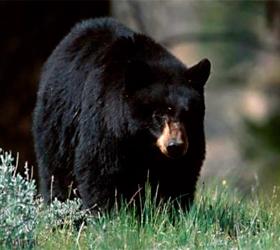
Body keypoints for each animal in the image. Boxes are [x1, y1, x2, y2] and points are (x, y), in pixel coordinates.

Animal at [32, 17, 210, 211]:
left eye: (188, 114)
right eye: (158, 115)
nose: (175, 146)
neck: (142, 140)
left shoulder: (192, 138)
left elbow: (181, 173)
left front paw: (173, 210)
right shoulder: (105, 120)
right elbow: (99, 167)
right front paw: (106, 212)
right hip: (57, 126)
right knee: (58, 173)